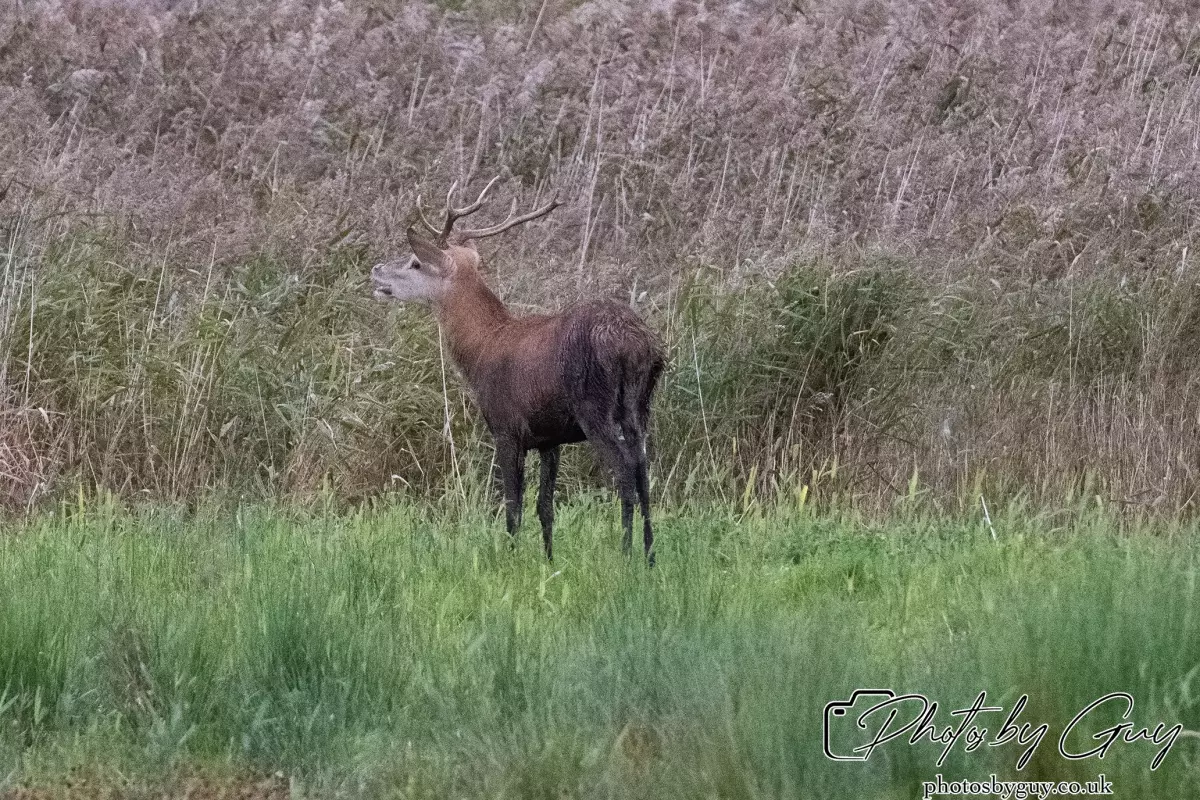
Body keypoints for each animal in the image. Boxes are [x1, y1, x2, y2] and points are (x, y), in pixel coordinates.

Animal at [371, 178, 666, 564]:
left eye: (415, 262)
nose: (376, 269)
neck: (483, 348)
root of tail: (634, 343)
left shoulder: (506, 426)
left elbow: (512, 506)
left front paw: (510, 560)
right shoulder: (549, 437)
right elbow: (545, 507)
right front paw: (549, 561)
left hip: (593, 405)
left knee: (625, 472)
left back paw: (627, 554)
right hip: (641, 404)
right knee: (644, 472)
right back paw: (650, 555)